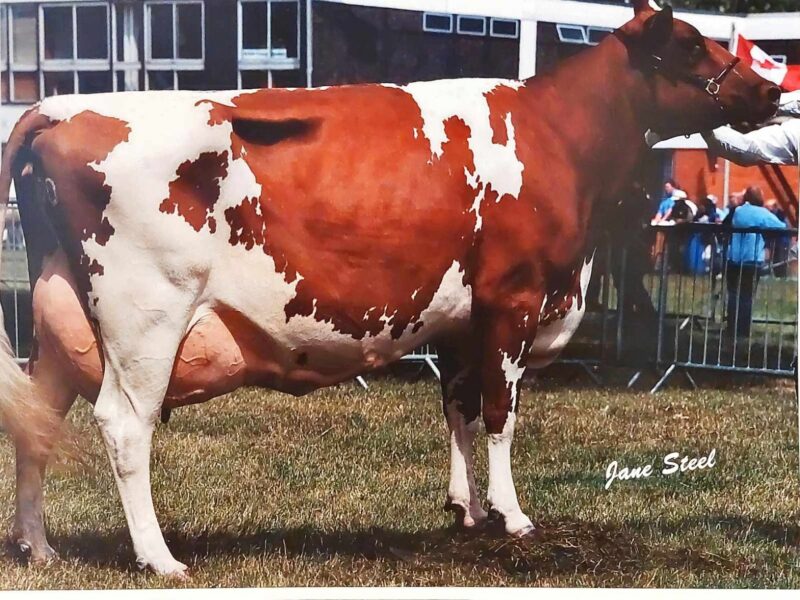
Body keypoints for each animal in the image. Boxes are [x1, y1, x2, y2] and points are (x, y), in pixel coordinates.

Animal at [0, 1, 780, 577]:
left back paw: (40, 548)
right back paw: (159, 558)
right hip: (146, 316)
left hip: (60, 313)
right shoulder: (514, 298)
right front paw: (513, 517)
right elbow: (500, 414)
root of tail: (57, 107)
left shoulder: (463, 319)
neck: (556, 137)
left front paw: (466, 512)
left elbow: (459, 409)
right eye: (690, 45)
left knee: (38, 416)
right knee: (124, 426)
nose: (771, 89)